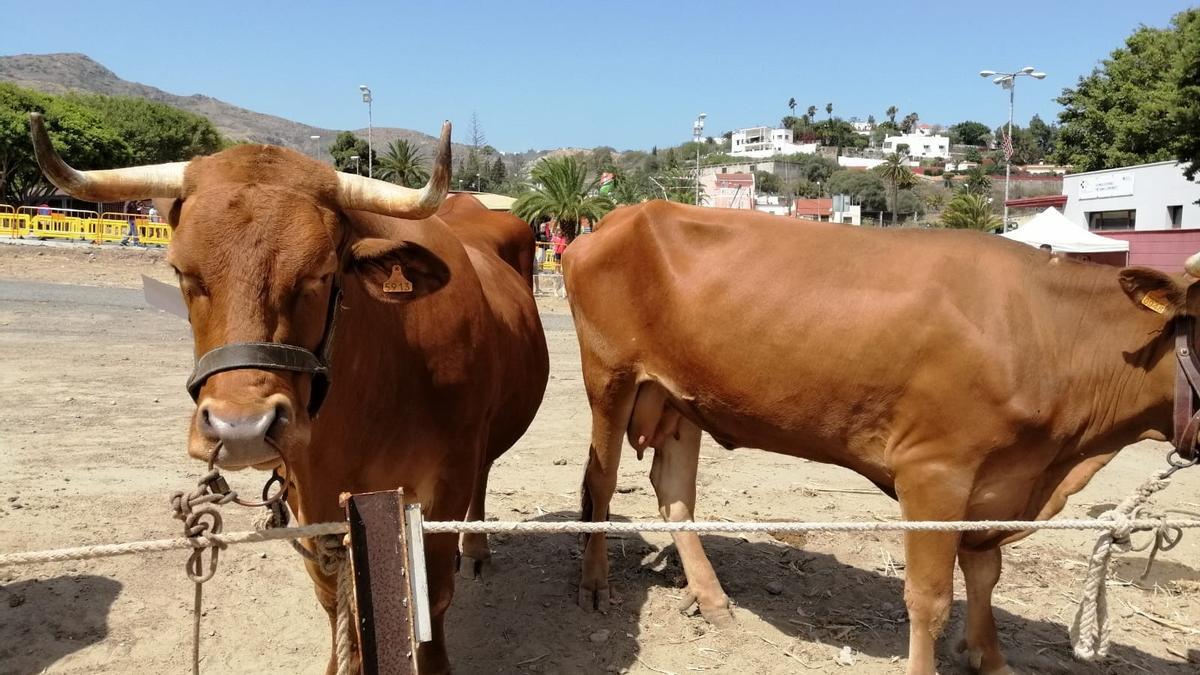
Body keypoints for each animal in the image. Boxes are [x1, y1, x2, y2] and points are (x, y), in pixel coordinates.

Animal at [564, 196, 1200, 672]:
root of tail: (620, 217)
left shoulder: (1001, 480)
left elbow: (986, 573)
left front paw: (991, 659)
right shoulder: (935, 471)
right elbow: (929, 598)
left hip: (681, 398)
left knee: (674, 492)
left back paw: (712, 598)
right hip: (611, 375)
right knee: (602, 477)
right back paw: (594, 583)